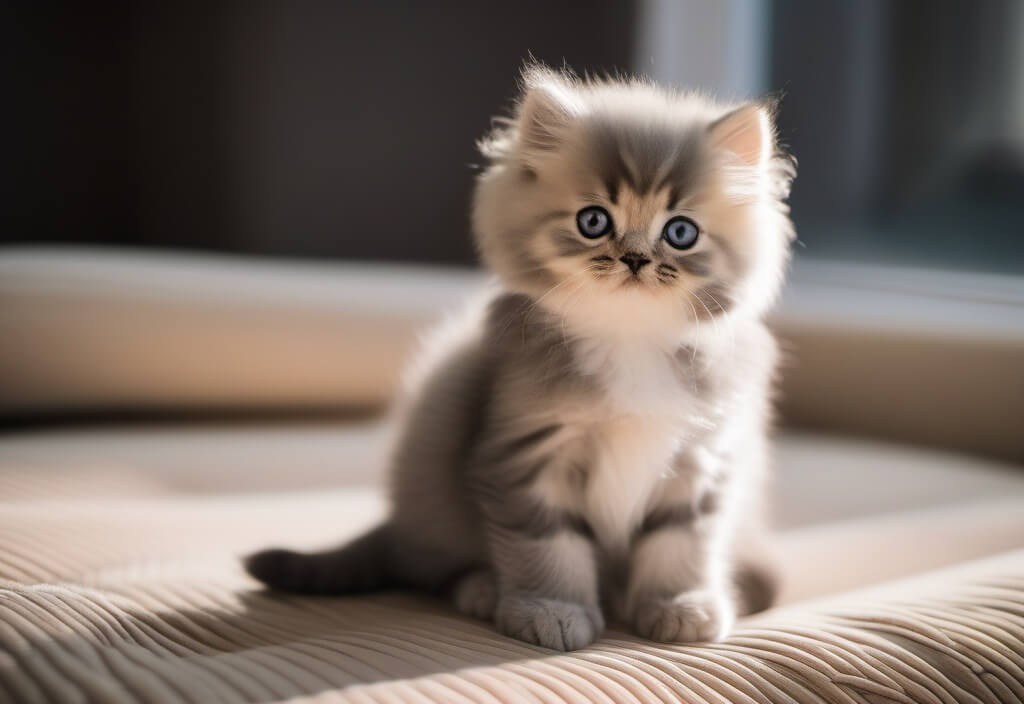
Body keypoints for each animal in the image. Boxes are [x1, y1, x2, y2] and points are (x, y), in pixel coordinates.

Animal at [243, 63, 794, 650]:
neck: (628, 338)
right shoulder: (525, 453)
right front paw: (551, 609)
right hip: (433, 498)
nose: (636, 259)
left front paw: (679, 604)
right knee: (431, 569)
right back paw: (484, 589)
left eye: (681, 232)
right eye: (594, 221)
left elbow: (681, 545)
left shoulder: (701, 460)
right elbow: (547, 545)